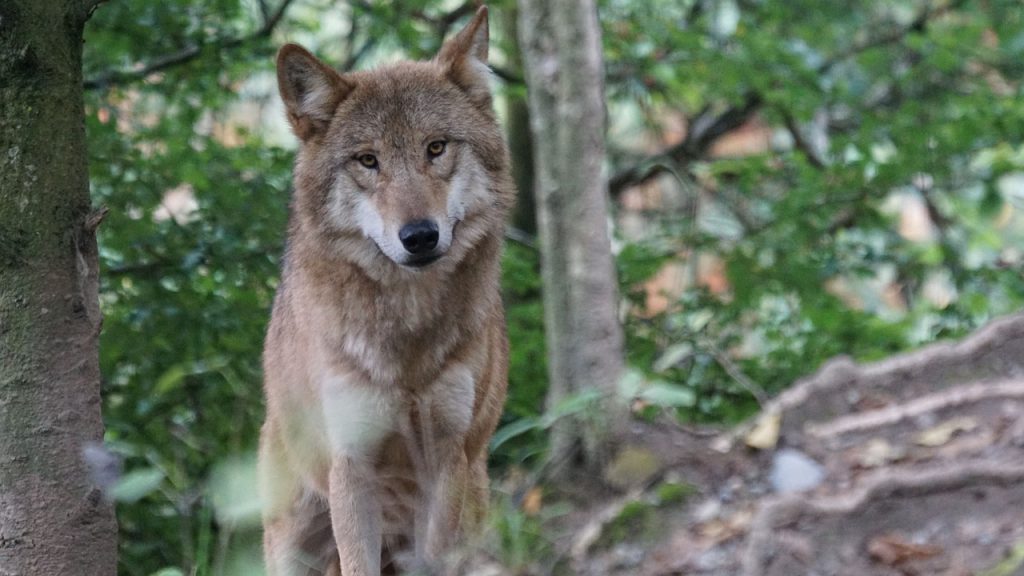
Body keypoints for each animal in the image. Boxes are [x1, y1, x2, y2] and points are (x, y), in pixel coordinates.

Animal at [256, 5, 512, 573]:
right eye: (368, 160)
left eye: (435, 148)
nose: (419, 236)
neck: (406, 338)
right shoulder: (352, 466)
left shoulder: (446, 458)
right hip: (292, 536)